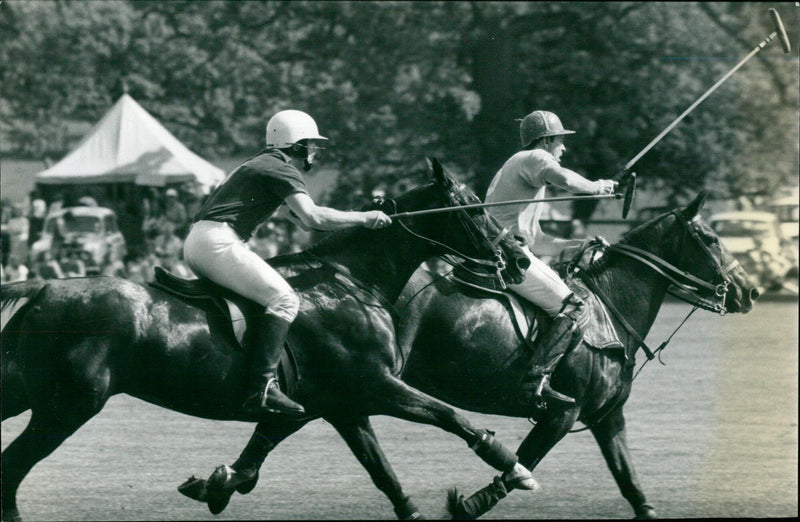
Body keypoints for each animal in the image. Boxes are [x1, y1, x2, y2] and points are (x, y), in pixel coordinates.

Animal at [3, 159, 536, 520]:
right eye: (473, 207)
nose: (520, 259)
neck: (354, 283)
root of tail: (44, 287)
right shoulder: (375, 386)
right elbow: (451, 416)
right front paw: (511, 466)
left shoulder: (336, 404)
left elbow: (376, 469)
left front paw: (217, 484)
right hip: (68, 405)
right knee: (12, 464)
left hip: (29, 393)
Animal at [181, 191, 756, 516]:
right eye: (709, 237)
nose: (748, 291)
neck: (610, 307)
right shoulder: (562, 411)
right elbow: (518, 466)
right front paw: (468, 503)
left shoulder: (605, 417)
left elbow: (632, 483)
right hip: (360, 379)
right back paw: (223, 482)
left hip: (343, 383)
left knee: (282, 420)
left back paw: (220, 483)